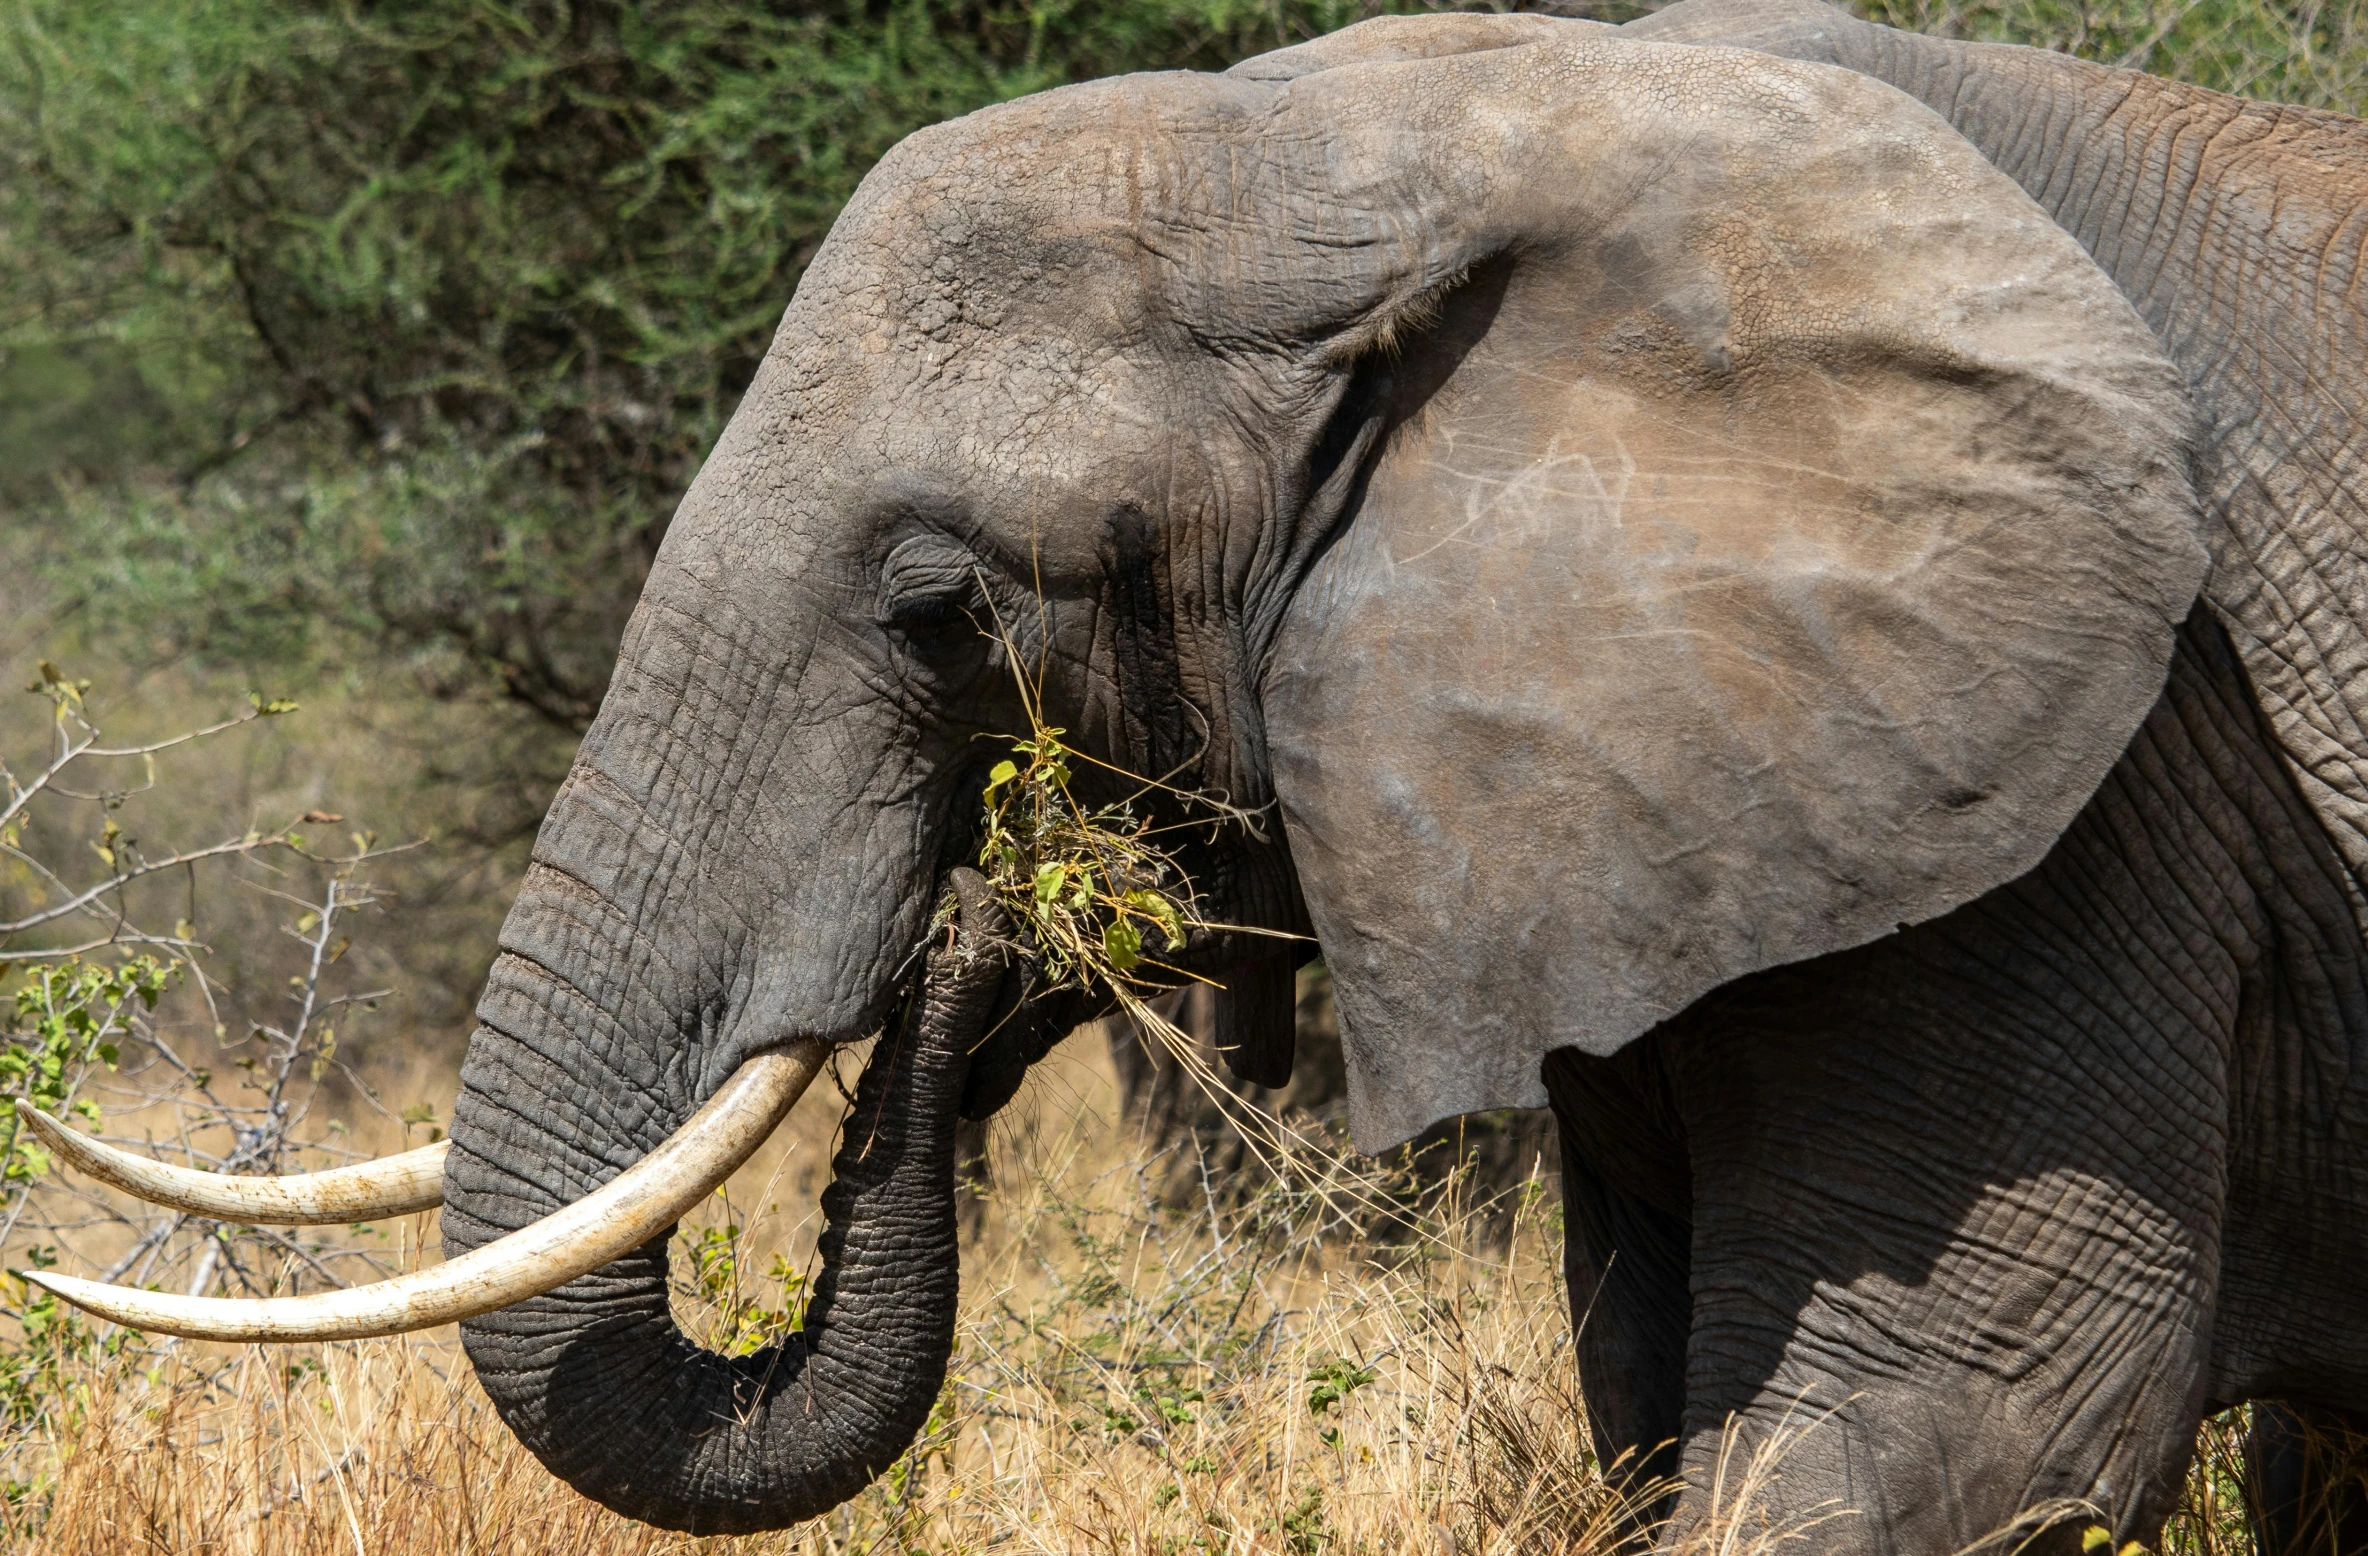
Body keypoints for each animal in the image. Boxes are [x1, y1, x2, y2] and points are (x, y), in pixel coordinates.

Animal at [32, 6, 2368, 1544]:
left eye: (939, 605)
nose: (1004, 917)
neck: (1453, 121)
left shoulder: (2096, 790)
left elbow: (1936, 1441)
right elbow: (1651, 1407)